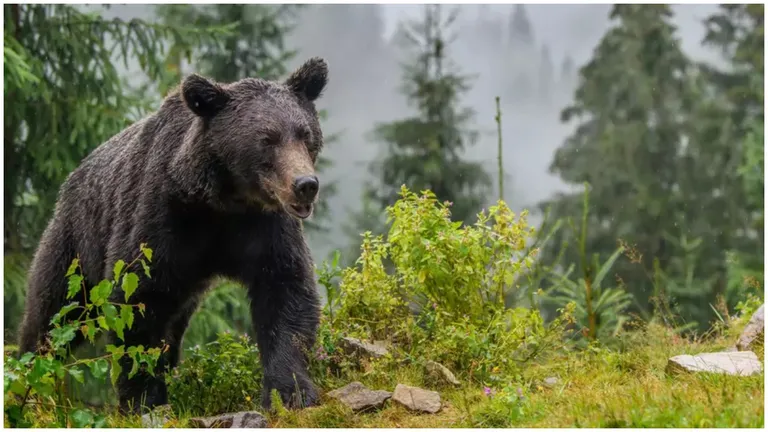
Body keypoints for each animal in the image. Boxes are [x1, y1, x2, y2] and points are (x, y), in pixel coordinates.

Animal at [18, 56, 330, 412]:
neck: (221, 202)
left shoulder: (263, 227)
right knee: (54, 313)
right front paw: (143, 398)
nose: (305, 185)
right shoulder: (160, 220)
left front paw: (291, 391)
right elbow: (137, 302)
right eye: (267, 138)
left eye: (305, 134)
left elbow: (285, 292)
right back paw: (28, 380)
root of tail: (71, 179)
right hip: (75, 245)